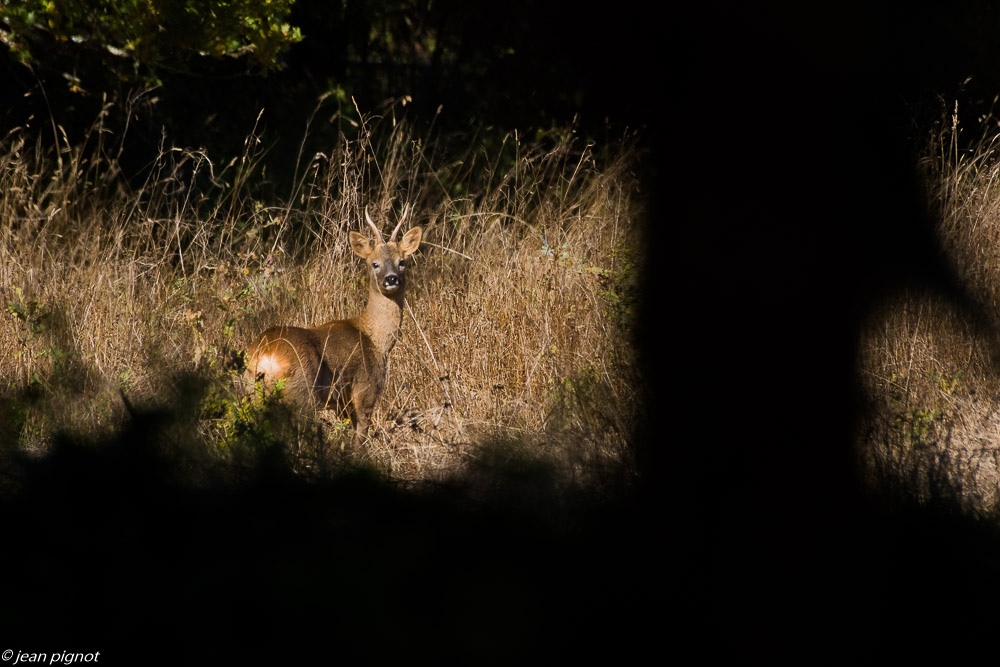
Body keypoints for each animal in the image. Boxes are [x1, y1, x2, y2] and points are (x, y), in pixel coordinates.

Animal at [252, 205, 424, 444]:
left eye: (402, 261)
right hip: (301, 392)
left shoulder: (341, 401)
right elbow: (359, 439)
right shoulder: (365, 390)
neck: (376, 340)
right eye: (375, 263)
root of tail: (266, 355)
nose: (391, 279)